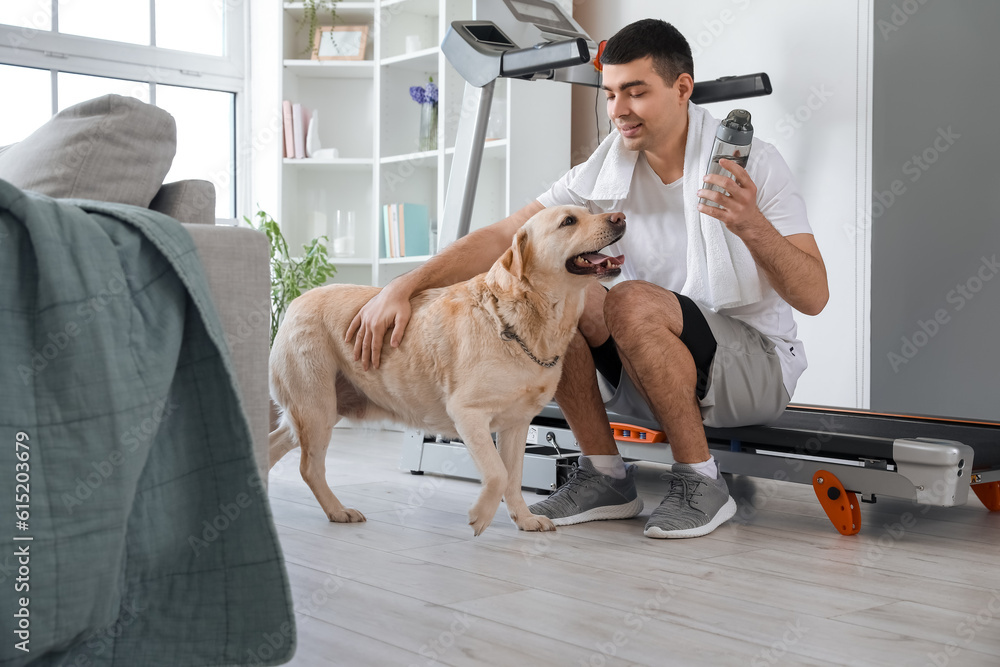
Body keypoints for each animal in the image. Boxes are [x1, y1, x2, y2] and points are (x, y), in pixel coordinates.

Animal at [270, 206, 620, 536]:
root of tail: (297, 301)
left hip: (322, 409)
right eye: (568, 221)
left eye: (590, 211)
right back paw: (337, 510)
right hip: (316, 407)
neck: (521, 321)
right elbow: (498, 473)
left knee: (275, 443)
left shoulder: (517, 423)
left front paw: (524, 519)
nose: (619, 218)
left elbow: (514, 476)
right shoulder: (467, 413)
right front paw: (480, 516)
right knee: (309, 468)